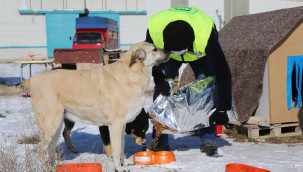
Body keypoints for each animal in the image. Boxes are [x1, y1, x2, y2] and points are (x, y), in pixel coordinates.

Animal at [25, 42, 169, 172]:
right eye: (154, 49)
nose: (169, 52)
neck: (132, 72)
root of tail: (32, 80)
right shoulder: (115, 125)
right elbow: (116, 149)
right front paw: (119, 168)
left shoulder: (122, 125)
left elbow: (122, 147)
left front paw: (124, 163)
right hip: (50, 124)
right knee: (41, 148)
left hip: (56, 124)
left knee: (50, 147)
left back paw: (52, 166)